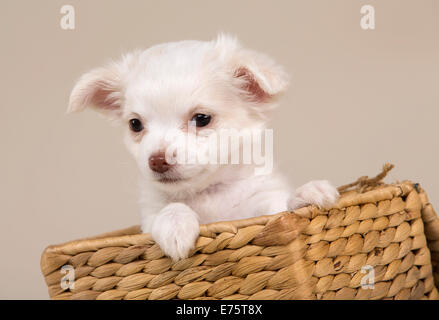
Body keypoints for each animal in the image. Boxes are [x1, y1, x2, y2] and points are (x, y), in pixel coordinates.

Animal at [69, 34, 340, 260]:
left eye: (201, 119)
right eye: (135, 124)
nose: (157, 160)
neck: (207, 193)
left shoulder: (261, 205)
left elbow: (280, 207)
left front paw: (305, 194)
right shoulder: (149, 217)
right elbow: (169, 208)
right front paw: (176, 225)